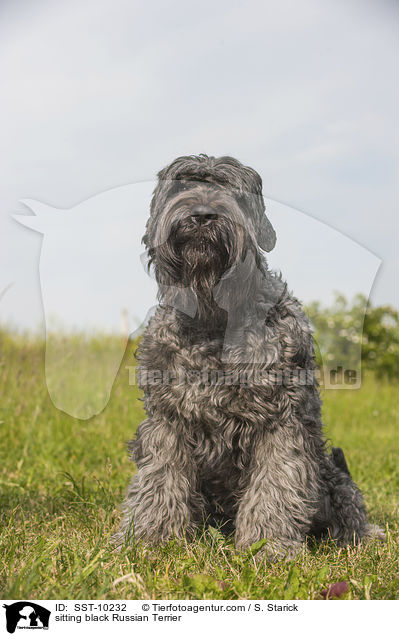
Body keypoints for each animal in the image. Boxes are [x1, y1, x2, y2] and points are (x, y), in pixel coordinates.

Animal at [119, 157, 384, 560]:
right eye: (182, 186)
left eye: (234, 191)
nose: (202, 215)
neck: (214, 321)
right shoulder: (168, 420)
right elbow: (160, 480)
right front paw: (150, 538)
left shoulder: (281, 422)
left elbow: (276, 487)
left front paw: (269, 547)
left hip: (334, 480)